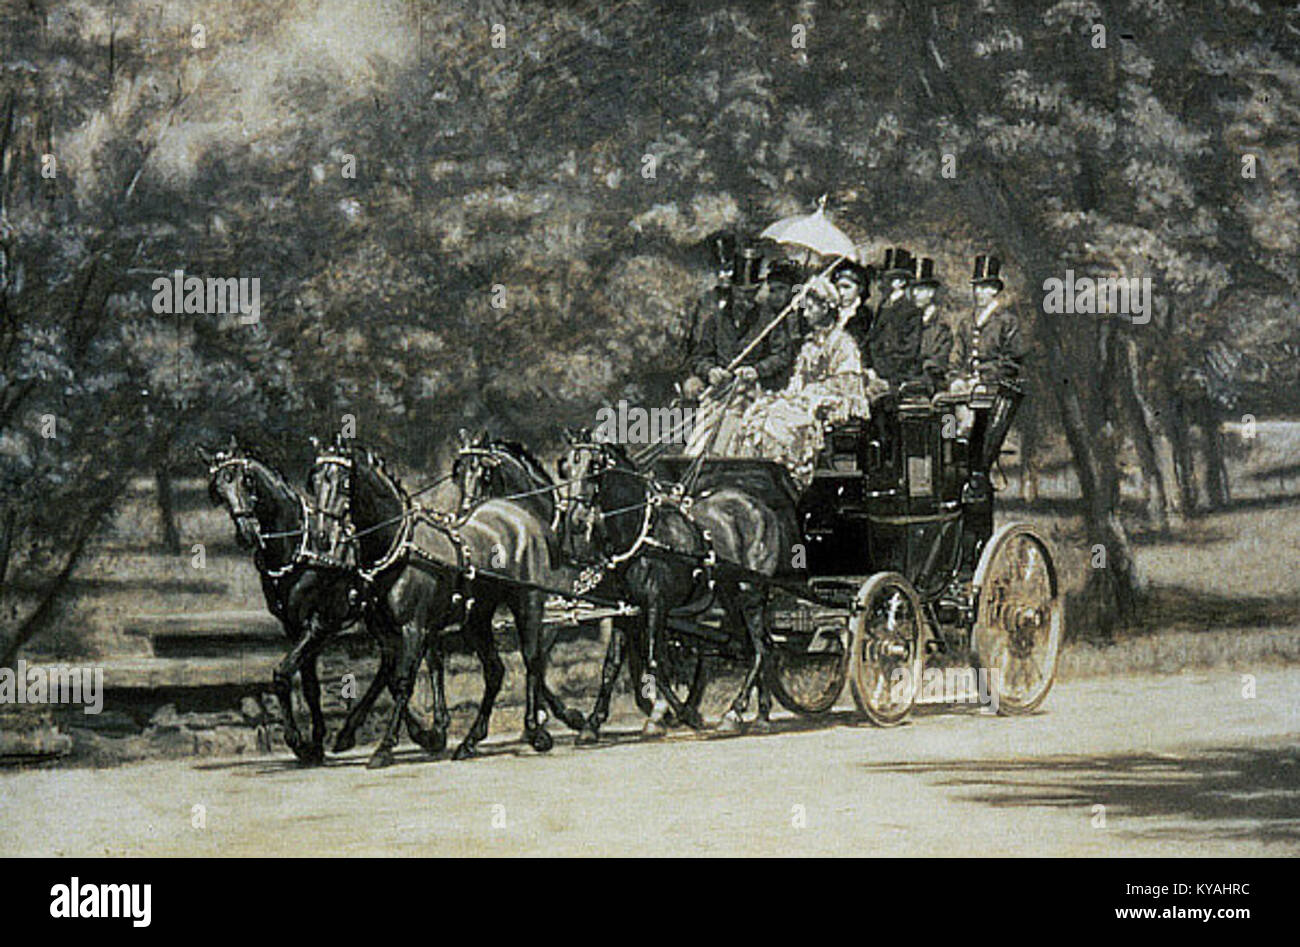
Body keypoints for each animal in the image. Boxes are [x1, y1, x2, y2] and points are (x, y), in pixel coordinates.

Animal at [197, 439, 431, 764]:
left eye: (247, 481)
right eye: (219, 490)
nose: (247, 533)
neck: (299, 548)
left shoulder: (320, 623)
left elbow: (283, 674)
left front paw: (298, 742)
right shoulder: (294, 626)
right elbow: (309, 687)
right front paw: (317, 742)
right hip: (376, 616)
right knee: (388, 664)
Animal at [306, 439, 582, 764]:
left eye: (344, 483)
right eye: (314, 481)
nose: (322, 536)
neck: (400, 548)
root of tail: (525, 518)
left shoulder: (414, 628)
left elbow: (404, 680)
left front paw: (386, 745)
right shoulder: (386, 634)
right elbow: (392, 678)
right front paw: (422, 734)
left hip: (528, 602)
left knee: (532, 659)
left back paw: (536, 730)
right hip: (477, 618)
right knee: (495, 670)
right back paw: (470, 741)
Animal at [556, 431, 795, 738]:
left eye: (594, 466)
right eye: (565, 467)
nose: (574, 519)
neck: (643, 535)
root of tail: (761, 507)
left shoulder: (656, 606)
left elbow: (654, 662)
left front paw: (684, 714)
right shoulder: (625, 612)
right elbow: (611, 666)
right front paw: (592, 723)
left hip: (750, 592)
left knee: (762, 648)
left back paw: (735, 711)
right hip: (730, 598)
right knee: (755, 646)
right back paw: (760, 714)